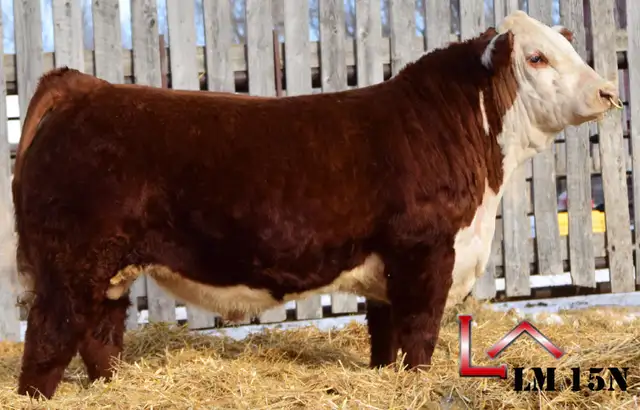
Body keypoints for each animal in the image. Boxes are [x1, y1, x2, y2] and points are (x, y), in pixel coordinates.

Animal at [12, 10, 621, 399]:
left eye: (571, 50)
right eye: (538, 57)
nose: (608, 91)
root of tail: (85, 86)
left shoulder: (387, 273)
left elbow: (387, 341)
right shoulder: (424, 255)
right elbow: (418, 337)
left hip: (108, 271)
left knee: (99, 336)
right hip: (69, 265)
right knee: (47, 341)